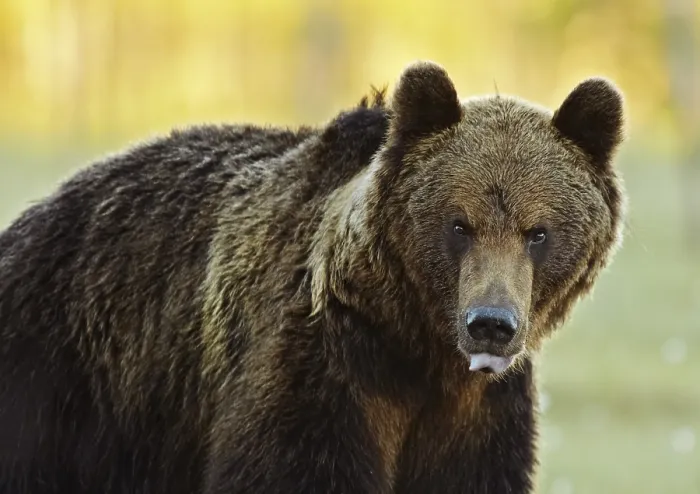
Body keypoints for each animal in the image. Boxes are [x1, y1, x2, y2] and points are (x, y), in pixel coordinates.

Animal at [0, 61, 626, 494]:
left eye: (537, 232)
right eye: (459, 224)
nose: (491, 324)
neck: (416, 345)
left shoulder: (478, 417)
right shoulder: (324, 374)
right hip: (62, 377)